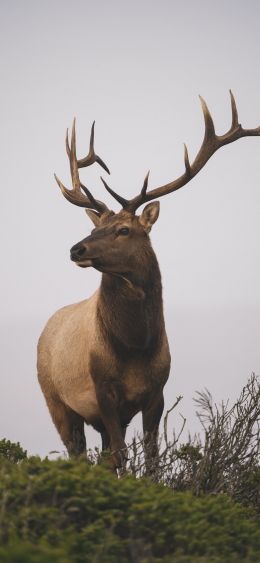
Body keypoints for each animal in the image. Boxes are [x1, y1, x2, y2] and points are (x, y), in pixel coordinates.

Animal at [36, 93, 260, 472]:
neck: (135, 346)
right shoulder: (102, 389)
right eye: (96, 227)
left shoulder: (157, 392)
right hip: (55, 399)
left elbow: (152, 457)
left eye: (124, 229)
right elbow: (119, 455)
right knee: (77, 453)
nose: (76, 249)